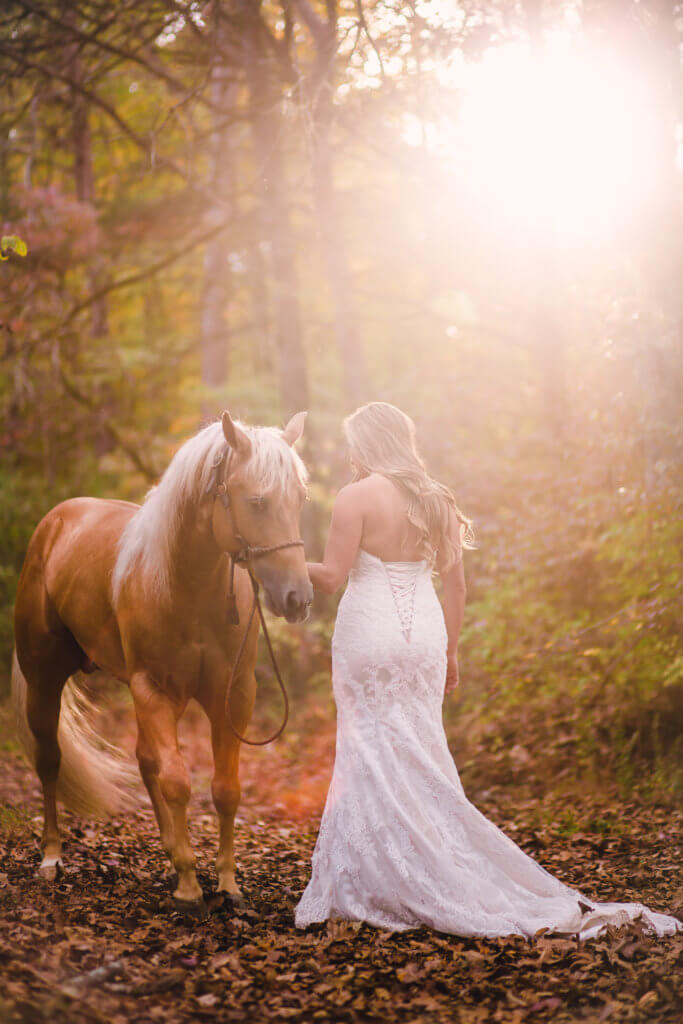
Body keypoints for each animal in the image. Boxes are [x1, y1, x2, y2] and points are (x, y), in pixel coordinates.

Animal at [12, 407, 311, 905]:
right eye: (257, 501)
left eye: (299, 500)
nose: (298, 598)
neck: (186, 586)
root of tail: (54, 523)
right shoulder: (153, 689)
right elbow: (177, 781)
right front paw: (190, 887)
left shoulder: (232, 696)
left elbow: (225, 788)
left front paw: (227, 882)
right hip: (44, 680)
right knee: (50, 759)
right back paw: (52, 857)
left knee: (143, 759)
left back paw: (170, 849)